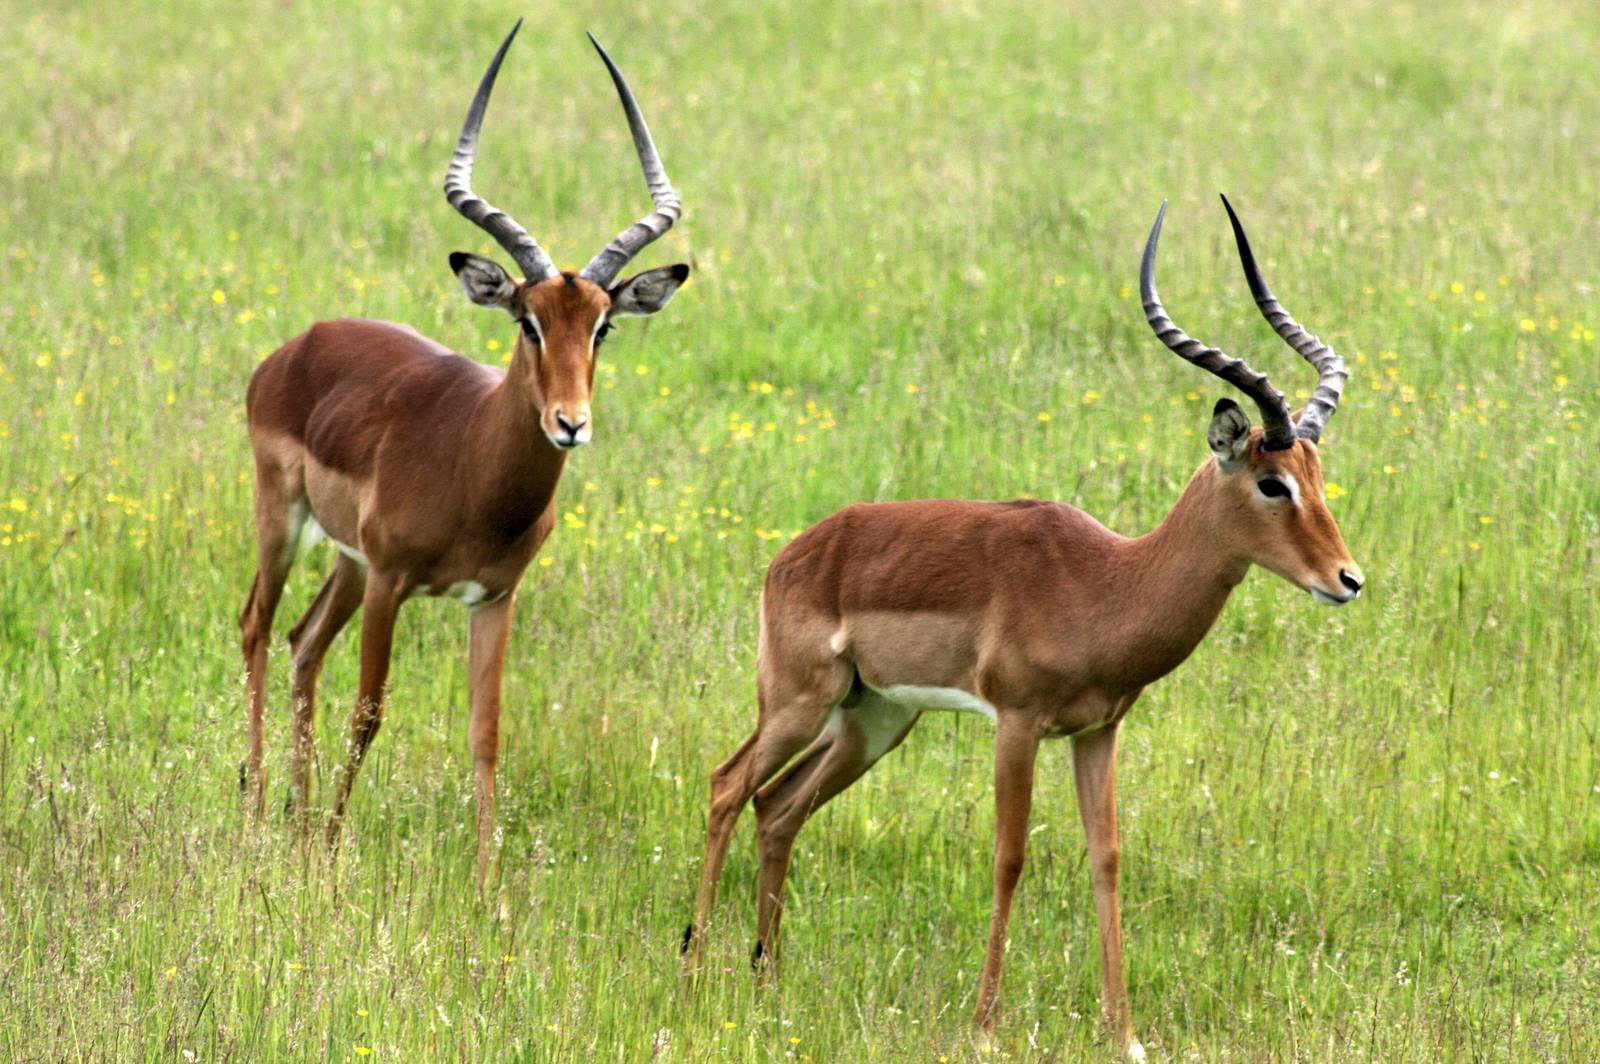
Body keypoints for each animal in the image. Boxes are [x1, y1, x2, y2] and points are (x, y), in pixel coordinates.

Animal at [238, 21, 690, 886]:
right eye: (527, 320)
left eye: (604, 326)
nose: (569, 423)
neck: (476, 478)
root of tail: (300, 344)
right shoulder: (393, 580)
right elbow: (371, 711)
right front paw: (336, 854)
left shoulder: (493, 597)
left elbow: (486, 734)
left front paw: (488, 889)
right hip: (286, 519)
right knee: (256, 627)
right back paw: (261, 808)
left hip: (344, 560)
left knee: (304, 643)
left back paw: (296, 821)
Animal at [682, 197, 1362, 1058]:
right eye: (1273, 482)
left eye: (1317, 476)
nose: (1348, 580)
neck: (1107, 582)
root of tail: (794, 554)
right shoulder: (1016, 722)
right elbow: (1010, 857)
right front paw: (983, 1025)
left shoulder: (1097, 731)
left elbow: (1107, 857)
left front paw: (1124, 1032)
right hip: (798, 702)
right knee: (728, 785)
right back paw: (693, 971)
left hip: (875, 719)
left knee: (779, 809)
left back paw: (768, 985)